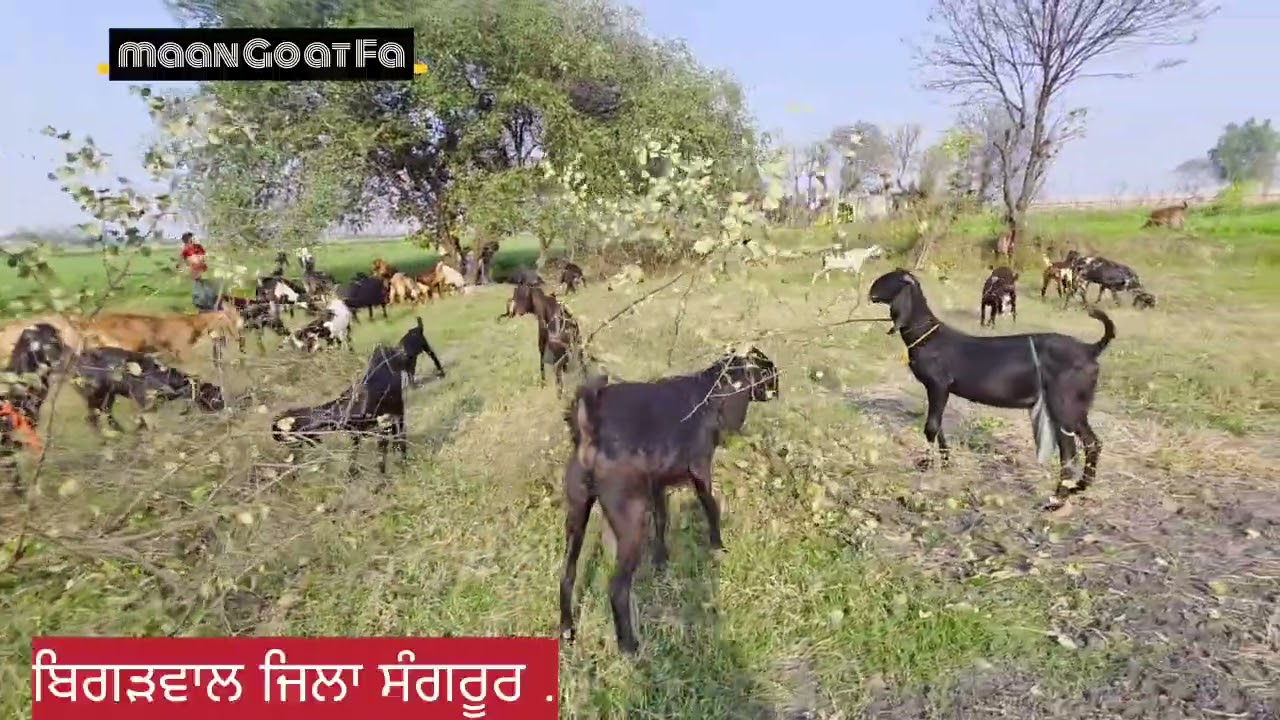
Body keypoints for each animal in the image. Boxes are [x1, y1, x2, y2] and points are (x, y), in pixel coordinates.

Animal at [72, 347, 225, 433]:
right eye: (215, 395)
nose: (223, 406)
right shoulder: (142, 400)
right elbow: (147, 421)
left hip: (108, 396)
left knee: (104, 415)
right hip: (96, 394)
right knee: (92, 419)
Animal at [271, 344, 409, 476]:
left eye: (284, 435)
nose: (293, 460)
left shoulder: (383, 427)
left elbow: (381, 455)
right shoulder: (356, 433)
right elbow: (354, 454)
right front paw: (351, 473)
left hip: (398, 410)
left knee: (401, 432)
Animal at [557, 347, 779, 655]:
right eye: (768, 373)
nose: (777, 389)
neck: (709, 391)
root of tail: (590, 428)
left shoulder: (657, 486)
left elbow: (662, 521)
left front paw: (661, 560)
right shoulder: (700, 472)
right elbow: (711, 508)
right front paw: (717, 545)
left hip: (577, 515)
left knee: (567, 576)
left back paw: (567, 630)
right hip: (631, 521)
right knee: (617, 588)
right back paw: (629, 646)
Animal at [868, 268, 1115, 512]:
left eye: (888, 280)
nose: (870, 293)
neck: (928, 336)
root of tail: (1091, 350)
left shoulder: (939, 385)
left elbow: (931, 427)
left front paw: (926, 464)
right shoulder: (939, 390)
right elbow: (938, 427)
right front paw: (946, 462)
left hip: (1064, 403)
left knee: (1077, 448)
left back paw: (1060, 498)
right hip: (1075, 406)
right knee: (1085, 445)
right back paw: (1074, 489)